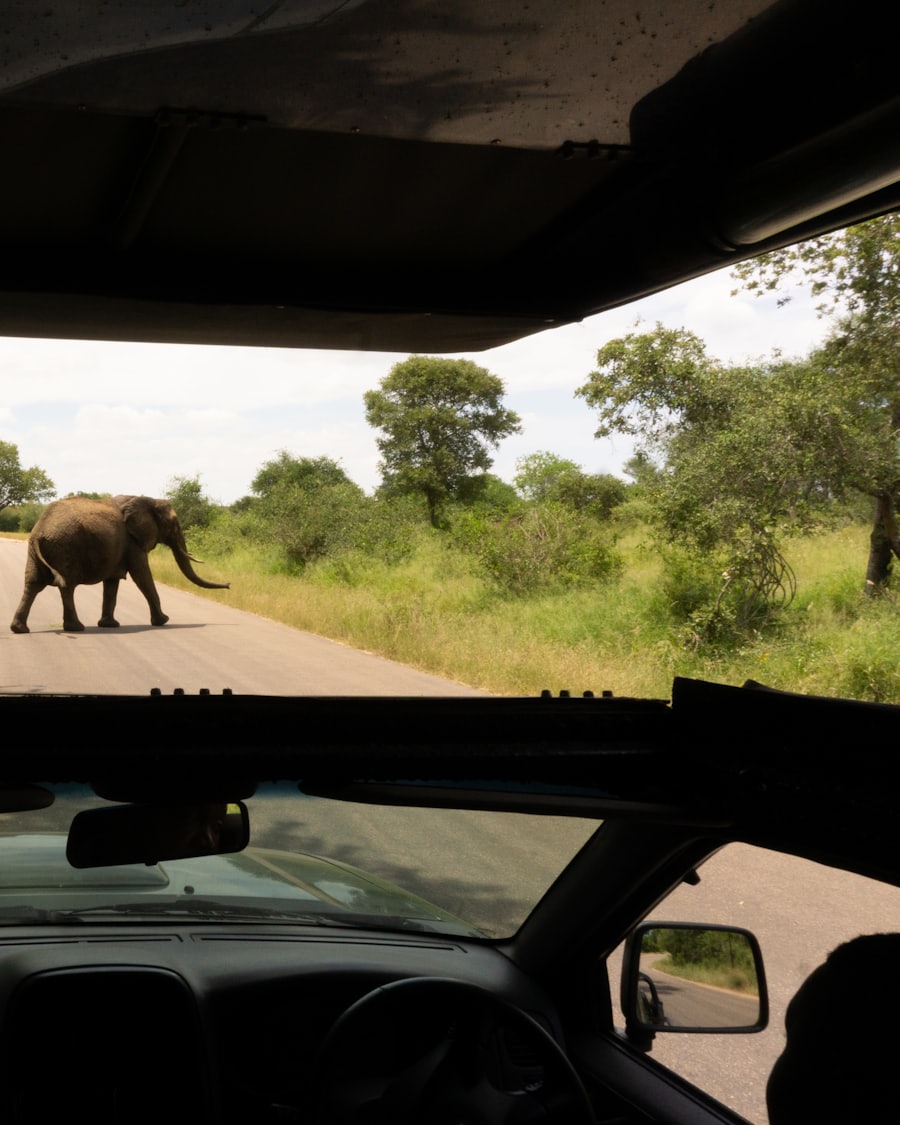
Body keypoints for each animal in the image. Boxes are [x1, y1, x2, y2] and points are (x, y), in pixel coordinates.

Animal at [10, 494, 229, 634]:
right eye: (174, 525)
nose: (228, 585)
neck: (147, 499)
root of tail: (40, 531)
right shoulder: (133, 542)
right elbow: (142, 576)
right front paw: (164, 621)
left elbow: (113, 582)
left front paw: (109, 625)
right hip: (66, 547)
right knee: (66, 586)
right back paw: (76, 628)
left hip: (37, 552)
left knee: (32, 585)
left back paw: (19, 629)